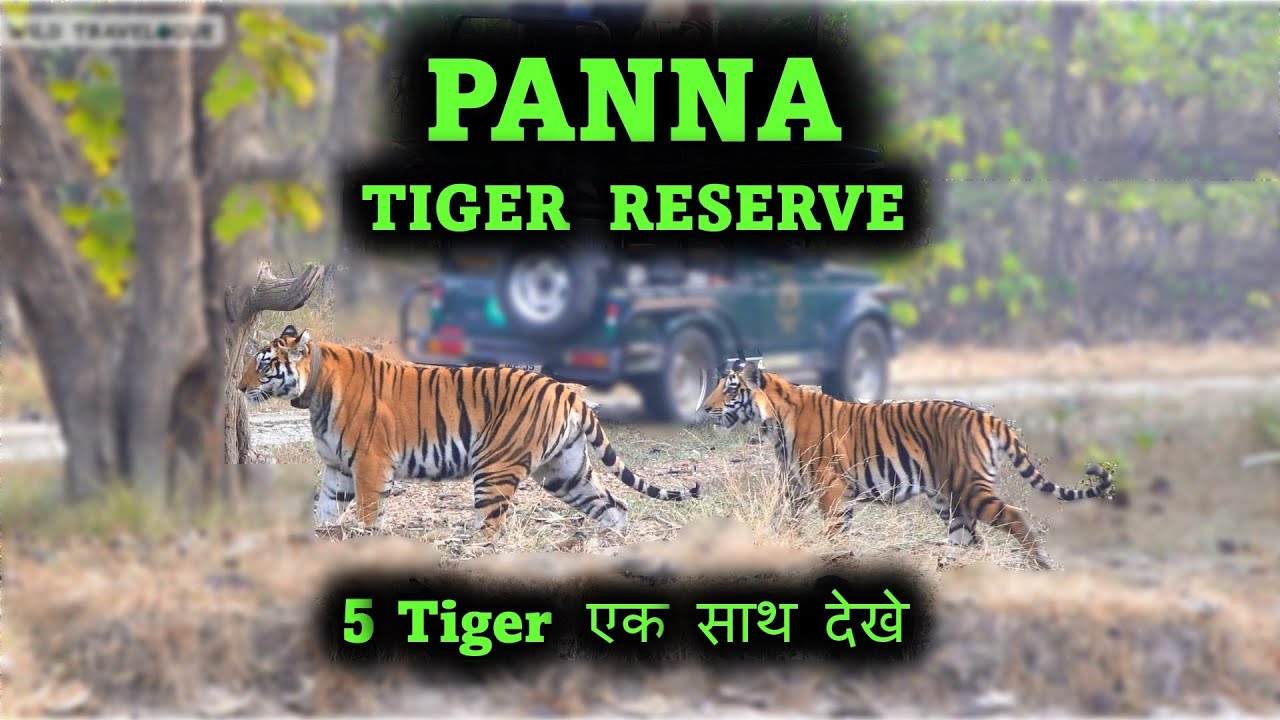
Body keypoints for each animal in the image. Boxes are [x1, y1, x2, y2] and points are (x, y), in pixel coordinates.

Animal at [237, 325, 699, 536]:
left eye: (263, 364)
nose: (239, 388)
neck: (313, 392)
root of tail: (566, 392)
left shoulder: (369, 465)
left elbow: (369, 515)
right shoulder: (338, 470)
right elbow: (325, 510)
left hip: (495, 469)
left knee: (493, 527)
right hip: (565, 472)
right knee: (614, 506)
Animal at [698, 359, 1113, 569]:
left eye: (730, 387)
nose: (704, 408)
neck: (774, 422)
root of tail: (988, 417)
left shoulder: (830, 488)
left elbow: (834, 532)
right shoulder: (797, 487)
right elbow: (784, 522)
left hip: (969, 488)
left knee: (1012, 516)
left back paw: (1038, 563)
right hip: (948, 501)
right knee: (969, 539)